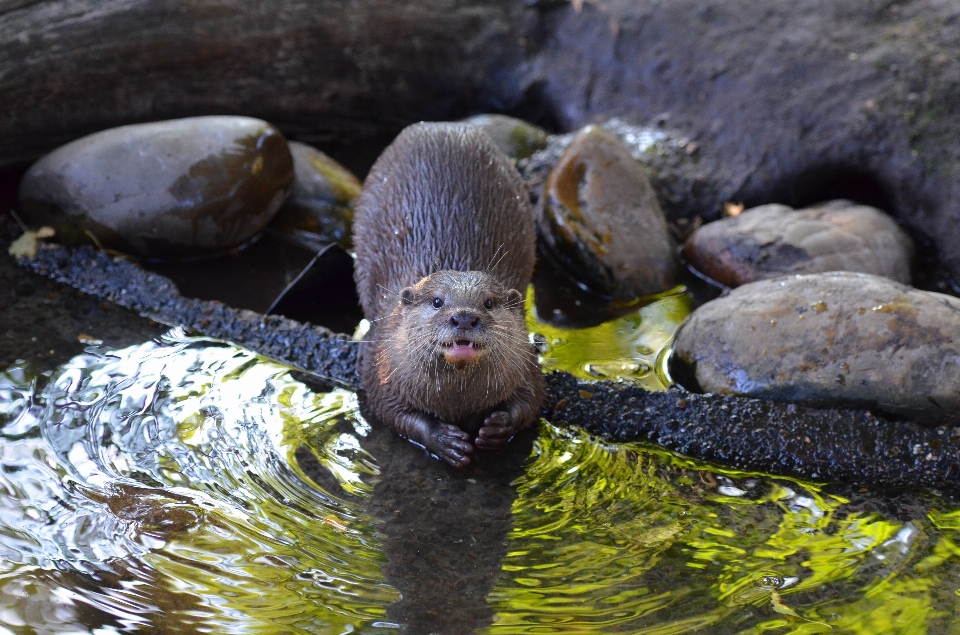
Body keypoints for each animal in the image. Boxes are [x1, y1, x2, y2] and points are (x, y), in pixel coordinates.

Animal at [354, 121, 548, 468]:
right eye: (437, 302)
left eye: (488, 302)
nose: (464, 317)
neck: (458, 403)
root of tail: (443, 125)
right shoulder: (384, 365)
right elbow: (390, 411)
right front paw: (444, 440)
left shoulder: (526, 364)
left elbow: (532, 399)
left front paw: (498, 427)